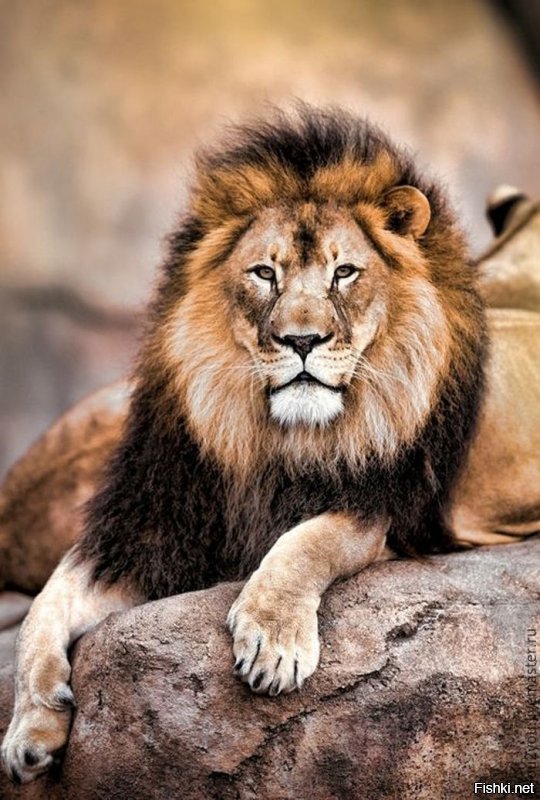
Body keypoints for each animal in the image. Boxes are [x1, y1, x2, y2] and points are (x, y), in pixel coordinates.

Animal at [1, 107, 539, 784]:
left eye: (344, 272)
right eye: (265, 272)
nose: (302, 340)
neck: (270, 440)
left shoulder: (379, 506)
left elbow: (308, 541)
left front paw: (272, 639)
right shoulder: (152, 527)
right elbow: (45, 605)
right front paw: (30, 728)